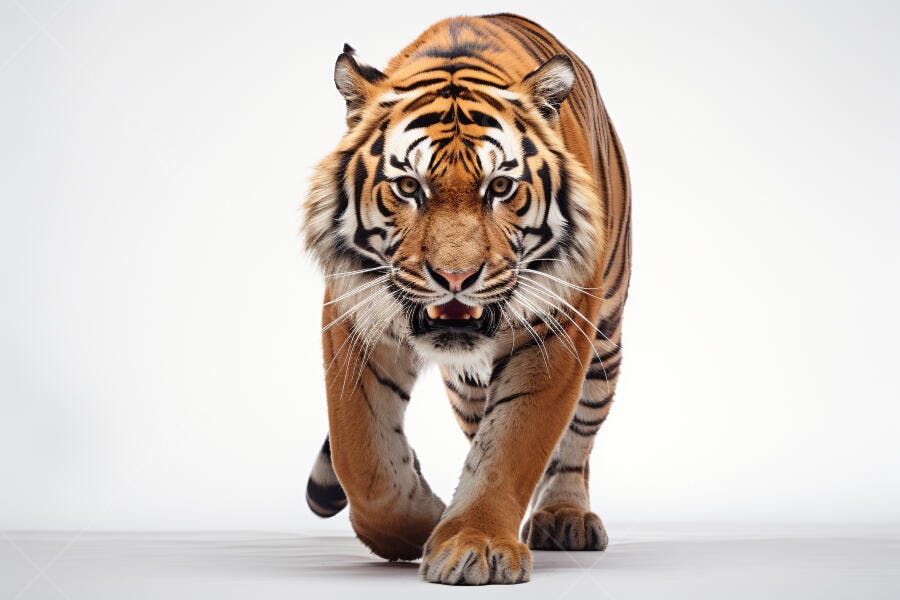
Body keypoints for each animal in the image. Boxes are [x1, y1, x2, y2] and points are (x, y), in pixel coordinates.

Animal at [302, 13, 630, 585]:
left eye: (499, 187)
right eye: (409, 187)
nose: (455, 277)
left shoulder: (557, 328)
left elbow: (512, 446)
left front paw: (475, 544)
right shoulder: (353, 315)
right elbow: (361, 456)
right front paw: (416, 526)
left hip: (606, 337)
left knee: (575, 442)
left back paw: (564, 517)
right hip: (465, 385)